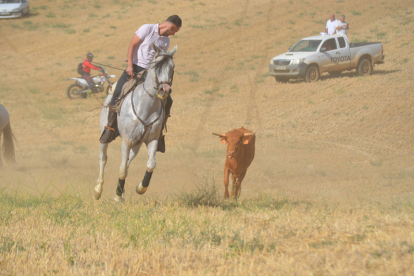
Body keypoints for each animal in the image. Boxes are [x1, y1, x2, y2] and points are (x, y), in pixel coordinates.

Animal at [94, 44, 177, 202]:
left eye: (172, 67)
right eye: (156, 66)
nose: (164, 90)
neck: (146, 107)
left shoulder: (152, 139)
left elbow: (150, 164)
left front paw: (140, 188)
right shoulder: (127, 140)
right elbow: (122, 170)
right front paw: (117, 196)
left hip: (136, 145)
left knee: (126, 162)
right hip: (104, 135)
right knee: (103, 159)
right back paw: (97, 190)